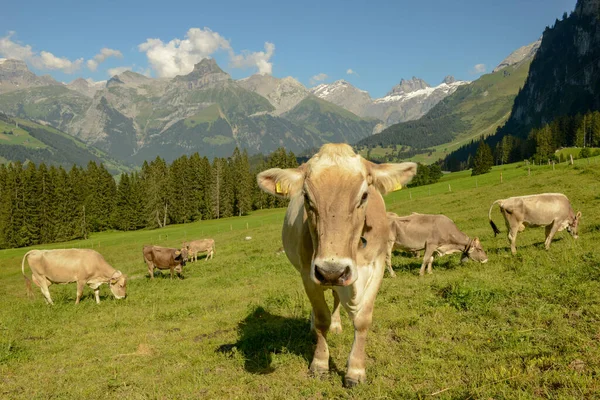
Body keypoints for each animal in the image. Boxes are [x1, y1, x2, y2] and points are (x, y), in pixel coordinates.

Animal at [258, 142, 418, 386]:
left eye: (364, 196)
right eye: (306, 197)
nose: (331, 271)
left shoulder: (377, 266)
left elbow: (362, 319)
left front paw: (356, 370)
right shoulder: (309, 273)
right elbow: (321, 317)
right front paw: (320, 364)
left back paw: (336, 324)